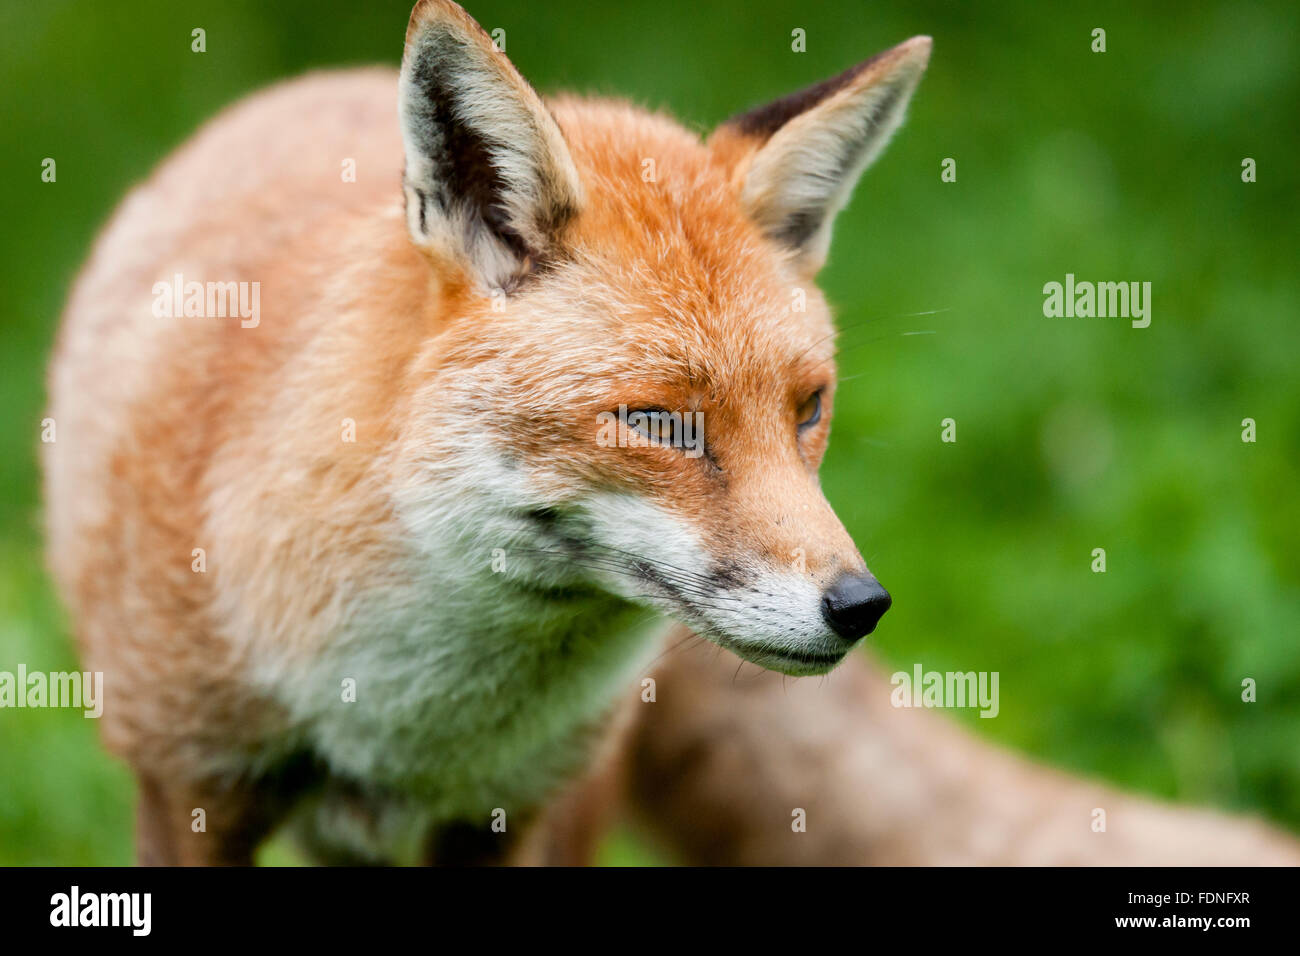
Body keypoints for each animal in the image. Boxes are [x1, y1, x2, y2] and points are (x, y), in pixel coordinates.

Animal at [40, 0, 1300, 868]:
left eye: (807, 409)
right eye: (658, 423)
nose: (859, 605)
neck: (404, 713)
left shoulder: (508, 815)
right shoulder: (186, 789)